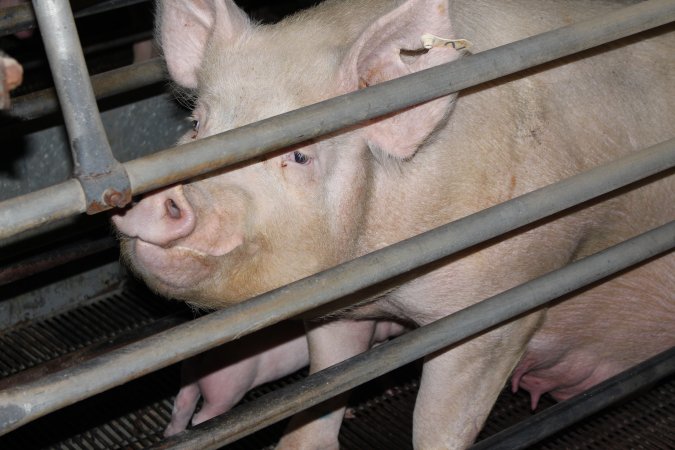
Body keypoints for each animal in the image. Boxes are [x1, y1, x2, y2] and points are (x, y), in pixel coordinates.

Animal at [164, 320, 406, 436]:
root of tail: (205, 355)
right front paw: (352, 412)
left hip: (189, 374)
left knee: (182, 403)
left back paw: (170, 434)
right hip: (225, 390)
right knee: (201, 418)